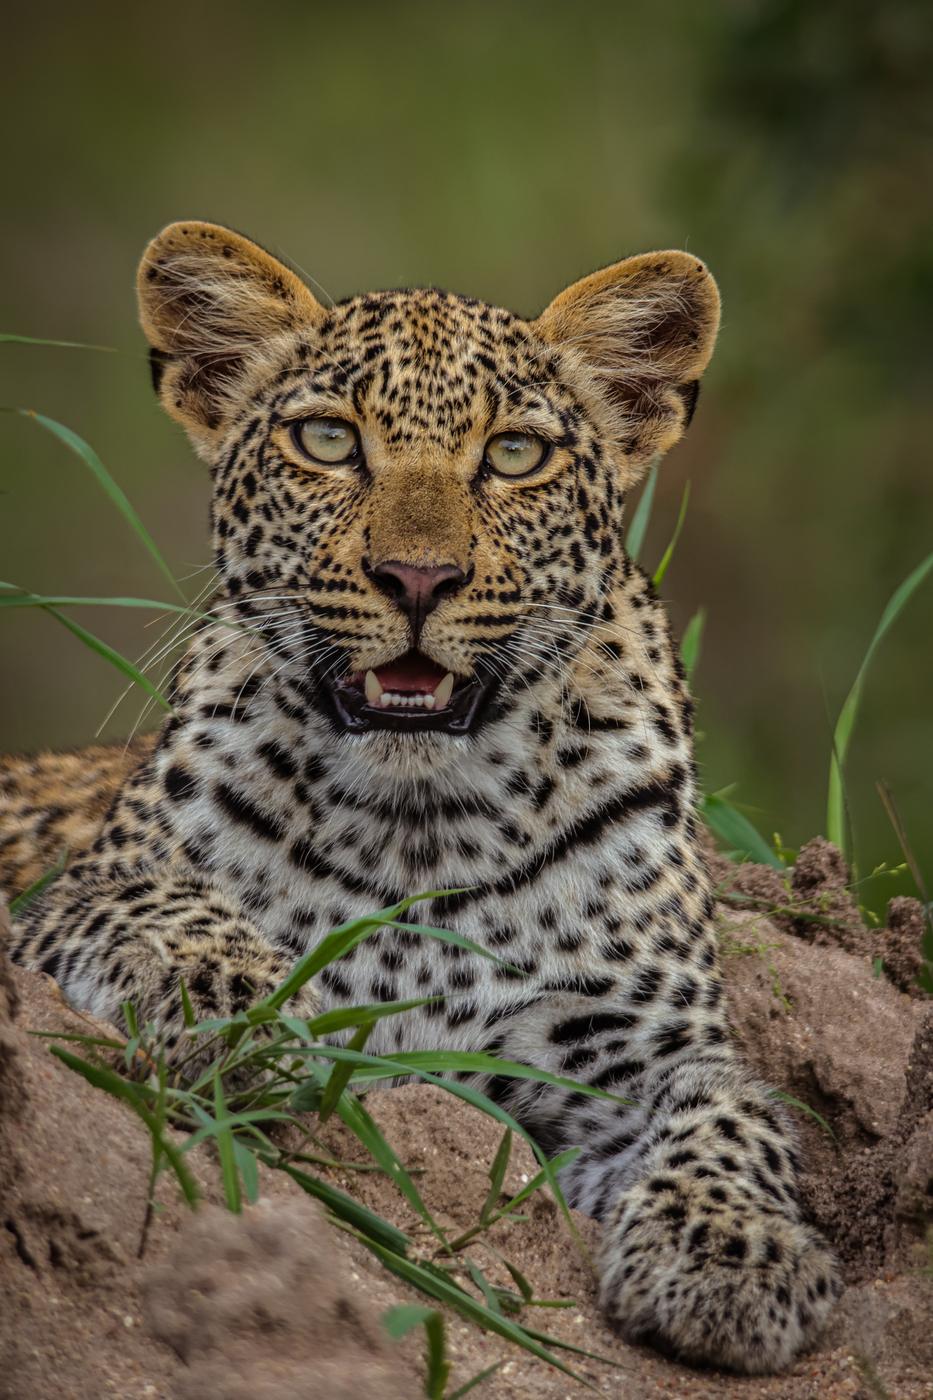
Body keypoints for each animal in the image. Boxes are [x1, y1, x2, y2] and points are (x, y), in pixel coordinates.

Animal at [0, 221, 839, 1374]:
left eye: (515, 454)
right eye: (327, 440)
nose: (416, 578)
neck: (421, 823)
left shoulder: (630, 1053)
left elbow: (734, 1112)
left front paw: (732, 1251)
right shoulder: (51, 905)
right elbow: (149, 901)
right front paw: (233, 993)